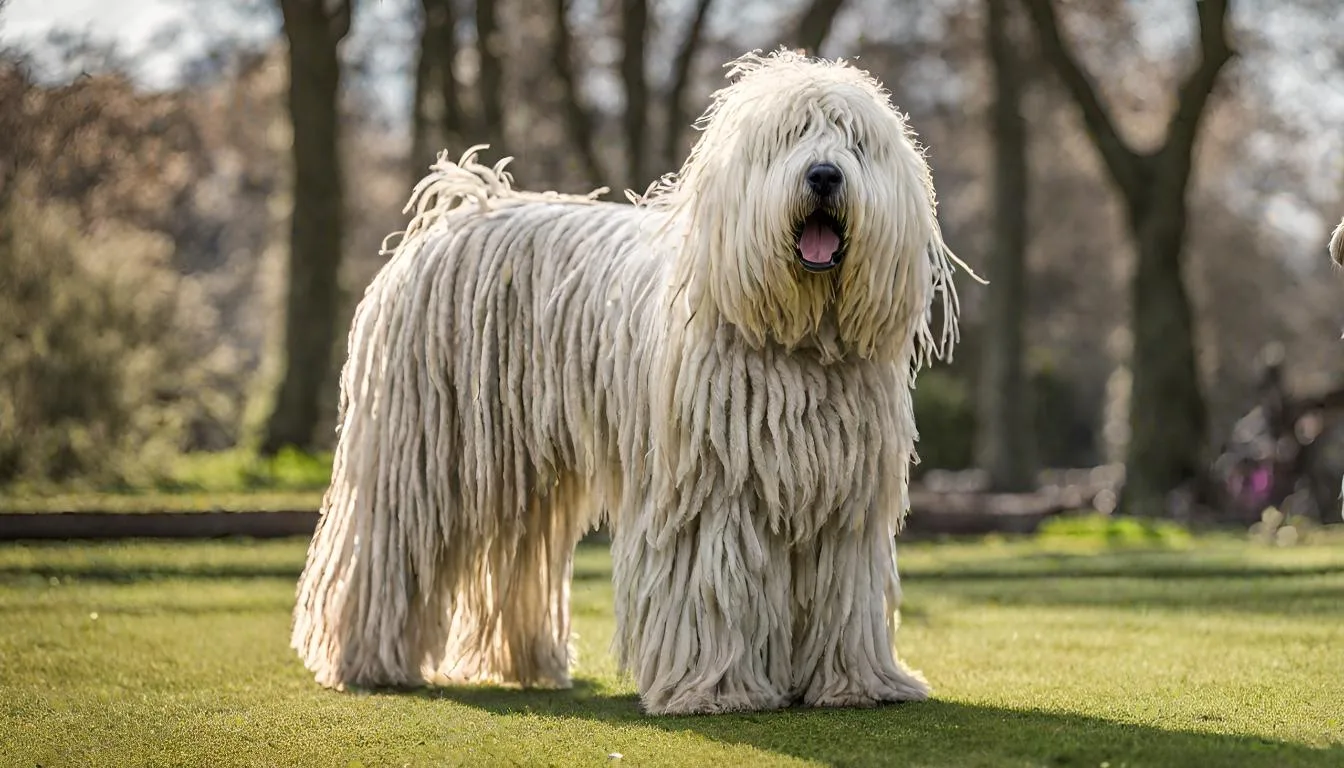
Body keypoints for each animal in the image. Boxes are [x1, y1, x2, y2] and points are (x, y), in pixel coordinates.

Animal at [288, 51, 973, 720]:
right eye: (788, 136)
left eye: (855, 142)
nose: (826, 175)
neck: (796, 339)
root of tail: (459, 209)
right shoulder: (710, 493)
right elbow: (711, 584)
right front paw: (715, 690)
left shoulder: (842, 499)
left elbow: (842, 590)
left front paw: (856, 683)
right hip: (424, 448)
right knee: (387, 541)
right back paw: (365, 661)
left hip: (518, 464)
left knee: (516, 556)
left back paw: (523, 665)